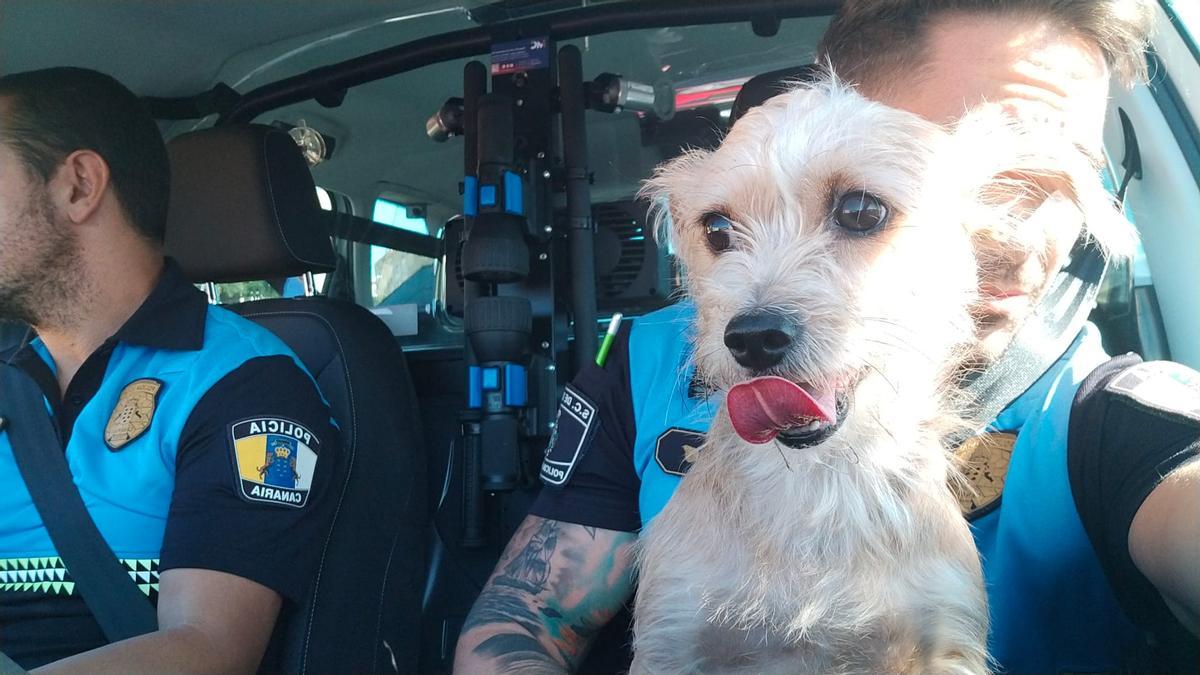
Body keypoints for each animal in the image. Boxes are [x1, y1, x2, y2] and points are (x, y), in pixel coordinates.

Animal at [638, 78, 1132, 672]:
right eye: (715, 229)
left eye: (860, 211)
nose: (751, 337)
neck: (820, 485)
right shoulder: (669, 636)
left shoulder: (946, 640)